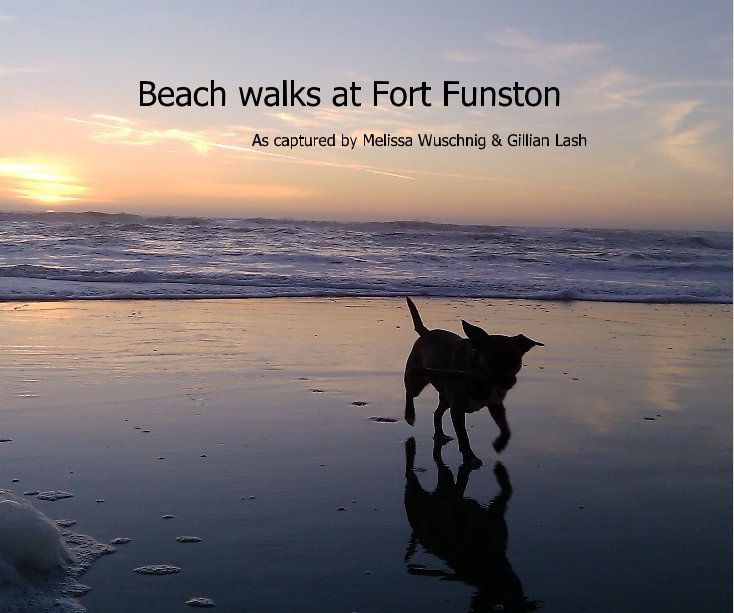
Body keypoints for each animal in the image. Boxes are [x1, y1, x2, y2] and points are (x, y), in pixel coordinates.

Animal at [406, 296, 544, 464]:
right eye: (491, 359)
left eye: (516, 360)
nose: (508, 381)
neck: (480, 376)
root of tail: (426, 333)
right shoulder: (458, 409)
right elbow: (463, 436)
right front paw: (469, 457)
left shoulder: (495, 403)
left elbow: (506, 429)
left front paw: (500, 444)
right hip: (417, 378)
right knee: (410, 392)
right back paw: (409, 414)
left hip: (446, 397)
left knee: (437, 413)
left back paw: (440, 435)